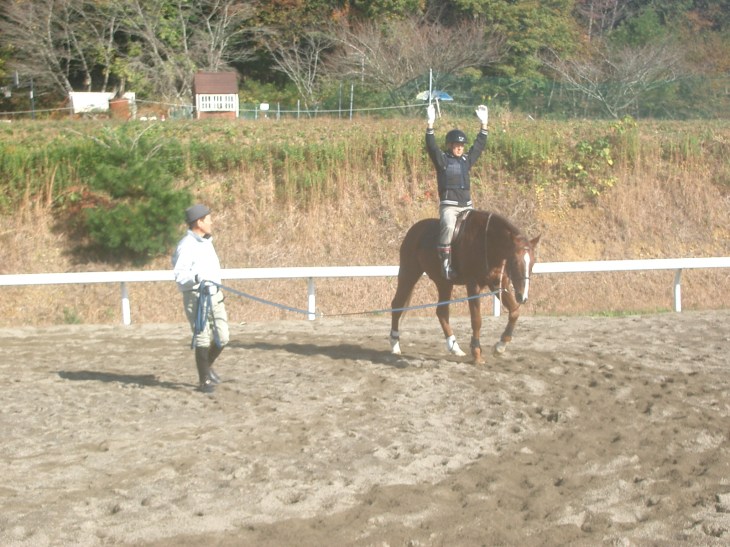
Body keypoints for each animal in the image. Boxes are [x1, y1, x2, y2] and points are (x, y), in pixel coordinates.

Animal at [389, 210, 540, 364]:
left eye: (533, 262)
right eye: (514, 261)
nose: (522, 296)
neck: (487, 242)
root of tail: (414, 230)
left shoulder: (497, 283)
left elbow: (515, 312)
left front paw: (500, 346)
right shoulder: (473, 285)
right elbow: (476, 319)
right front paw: (477, 353)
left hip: (444, 283)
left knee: (441, 312)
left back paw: (454, 348)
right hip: (409, 273)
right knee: (397, 305)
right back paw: (395, 345)